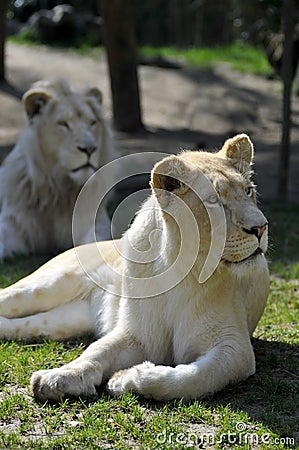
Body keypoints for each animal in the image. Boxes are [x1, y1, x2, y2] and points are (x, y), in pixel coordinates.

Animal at [0, 79, 115, 258]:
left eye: (92, 123)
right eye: (63, 124)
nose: (90, 149)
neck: (59, 190)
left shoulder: (97, 221)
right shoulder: (12, 223)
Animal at [0, 133, 270, 400]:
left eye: (248, 190)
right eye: (214, 201)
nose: (261, 228)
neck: (180, 267)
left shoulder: (234, 347)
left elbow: (193, 378)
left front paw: (125, 379)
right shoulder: (138, 334)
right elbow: (97, 350)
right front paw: (60, 377)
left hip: (67, 321)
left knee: (33, 326)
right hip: (46, 286)